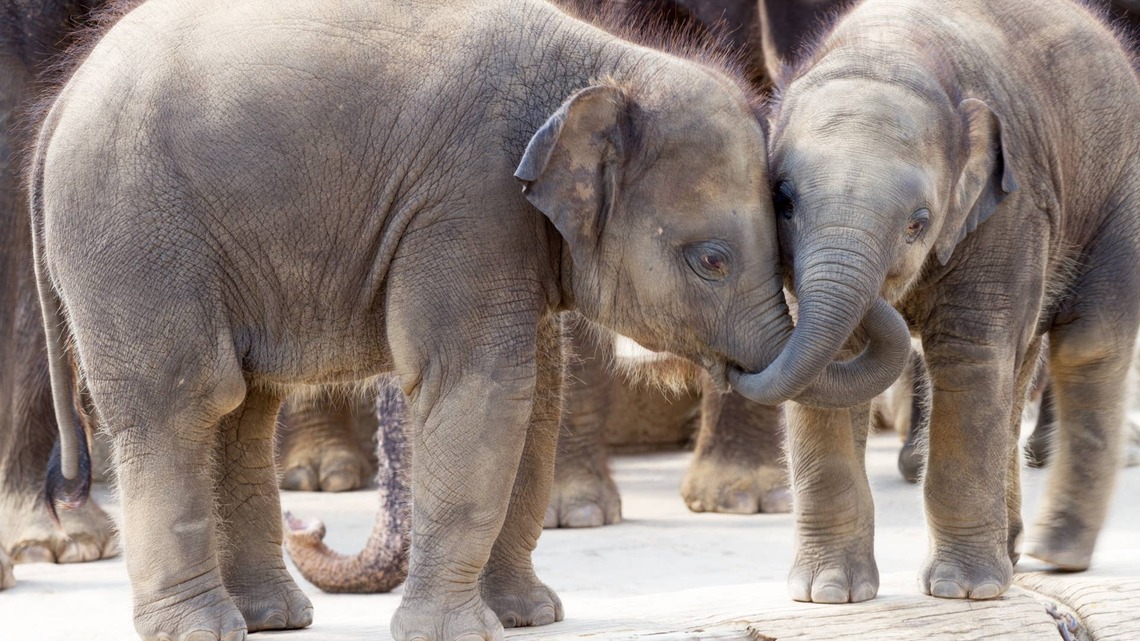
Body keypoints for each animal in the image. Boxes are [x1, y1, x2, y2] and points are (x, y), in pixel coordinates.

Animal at [34, 1, 904, 639]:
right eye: (713, 260)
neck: (600, 62)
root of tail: (61, 103)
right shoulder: (467, 201)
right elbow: (480, 385)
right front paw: (459, 632)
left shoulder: (504, 227)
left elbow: (534, 397)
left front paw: (530, 616)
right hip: (132, 229)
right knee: (186, 396)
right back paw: (203, 630)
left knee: (245, 408)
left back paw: (273, 619)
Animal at [741, 0, 1140, 603]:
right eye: (783, 200)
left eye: (918, 222)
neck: (891, 51)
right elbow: (831, 368)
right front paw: (829, 594)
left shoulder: (1012, 208)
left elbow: (965, 355)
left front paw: (963, 592)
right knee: (1022, 363)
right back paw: (1015, 554)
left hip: (1118, 194)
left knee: (1087, 344)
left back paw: (1056, 554)